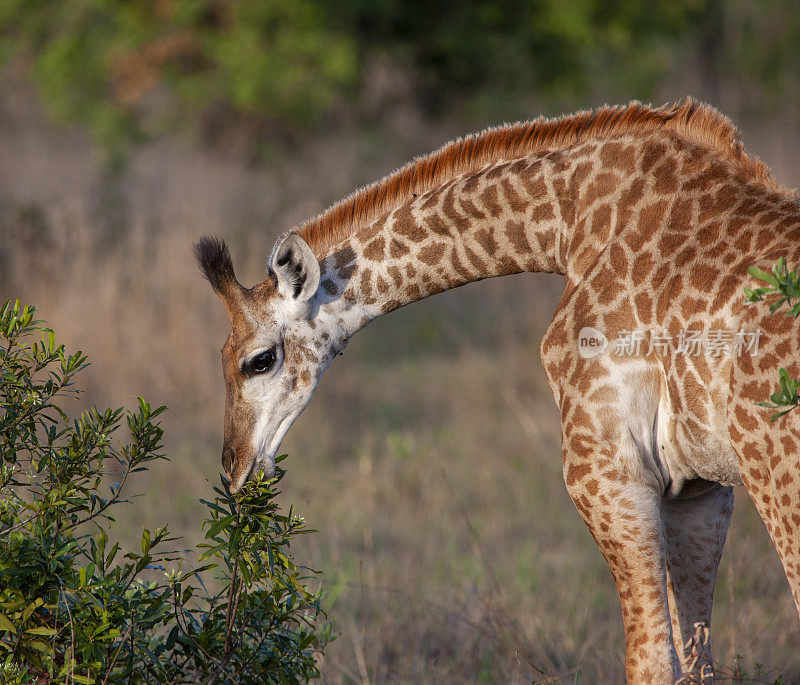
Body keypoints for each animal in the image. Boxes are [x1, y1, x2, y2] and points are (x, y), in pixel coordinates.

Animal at [197, 99, 800, 680]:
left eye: (259, 360)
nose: (236, 472)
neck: (569, 225)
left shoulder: (609, 471)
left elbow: (649, 663)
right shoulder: (700, 488)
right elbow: (697, 663)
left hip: (775, 475)